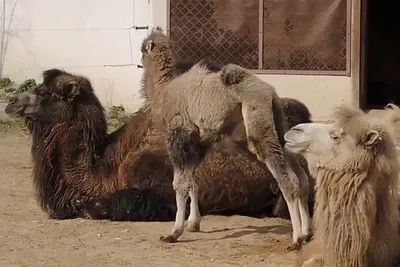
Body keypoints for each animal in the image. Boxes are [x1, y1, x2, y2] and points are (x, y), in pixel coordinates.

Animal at [141, 27, 312, 249]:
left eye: (143, 48)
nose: (139, 59)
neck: (165, 92)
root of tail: (271, 92)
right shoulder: (199, 140)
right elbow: (193, 180)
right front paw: (193, 223)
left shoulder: (179, 135)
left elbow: (180, 183)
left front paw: (174, 232)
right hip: (272, 125)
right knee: (300, 176)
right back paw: (307, 233)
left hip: (256, 119)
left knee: (288, 180)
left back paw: (296, 239)